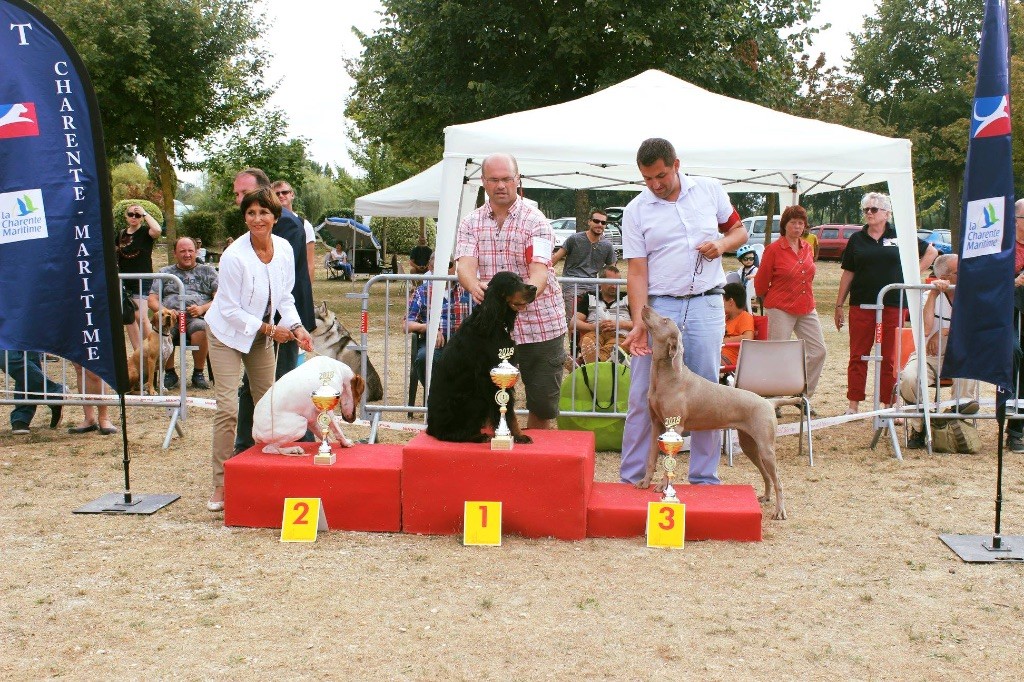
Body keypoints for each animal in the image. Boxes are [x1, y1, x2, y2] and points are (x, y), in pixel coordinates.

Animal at [423, 268, 536, 444]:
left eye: (520, 279)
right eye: (511, 282)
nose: (534, 288)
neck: (493, 321)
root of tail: (431, 428)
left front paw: (517, 434)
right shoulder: (487, 376)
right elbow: (506, 411)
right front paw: (515, 435)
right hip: (475, 399)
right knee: (449, 434)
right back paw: (476, 435)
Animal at [638, 305, 782, 518]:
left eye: (665, 320)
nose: (645, 306)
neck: (667, 377)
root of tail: (769, 403)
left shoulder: (675, 428)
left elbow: (668, 463)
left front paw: (663, 487)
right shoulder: (656, 424)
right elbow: (650, 457)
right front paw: (645, 482)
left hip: (766, 447)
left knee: (778, 479)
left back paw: (780, 511)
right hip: (750, 445)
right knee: (766, 475)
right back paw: (765, 497)